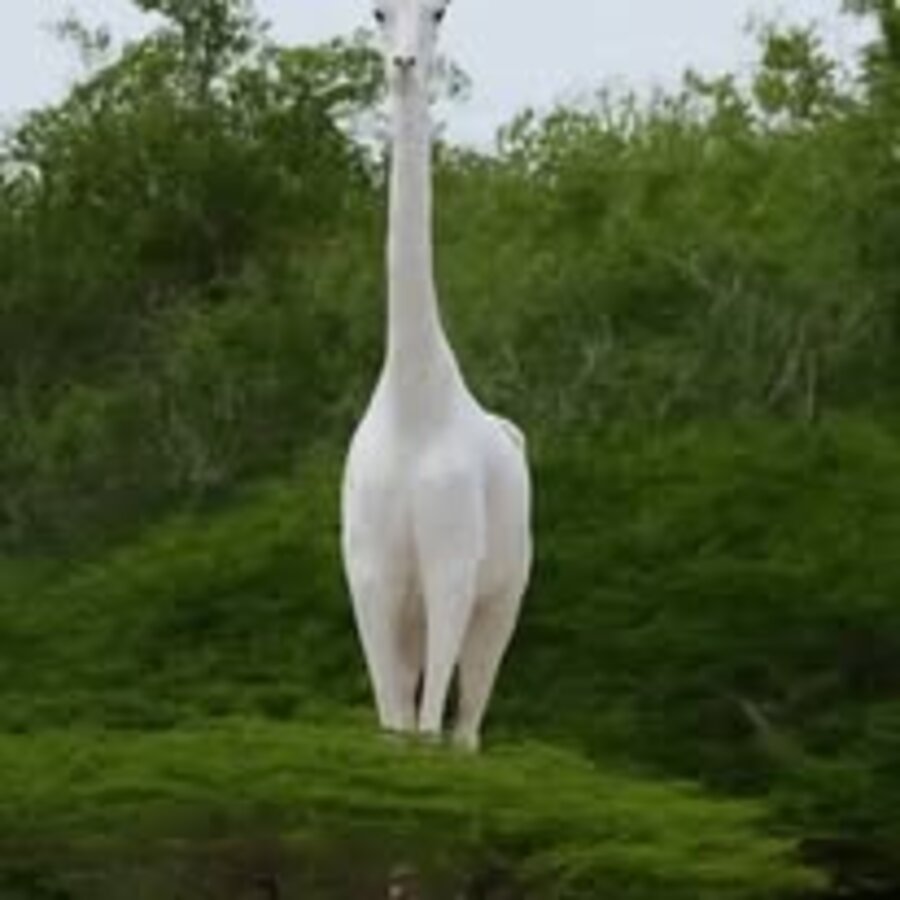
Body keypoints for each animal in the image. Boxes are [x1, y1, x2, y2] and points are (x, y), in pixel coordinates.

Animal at [341, 0, 532, 751]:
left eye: (441, 11)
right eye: (376, 11)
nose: (404, 62)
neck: (413, 407)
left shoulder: (453, 571)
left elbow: (429, 731)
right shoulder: (369, 576)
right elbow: (394, 724)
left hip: (503, 598)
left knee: (468, 727)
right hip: (416, 615)